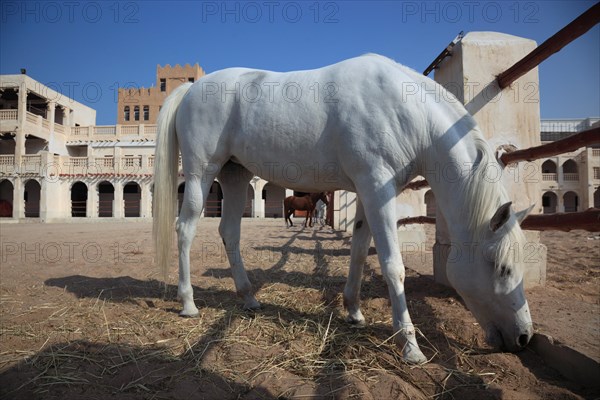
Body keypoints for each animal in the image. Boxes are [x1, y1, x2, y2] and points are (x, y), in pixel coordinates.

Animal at [154, 54, 536, 364]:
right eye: (502, 268)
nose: (524, 337)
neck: (405, 110)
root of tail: (191, 90)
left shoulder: (370, 193)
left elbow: (359, 250)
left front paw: (354, 311)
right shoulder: (378, 188)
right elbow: (392, 266)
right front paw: (410, 346)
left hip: (235, 175)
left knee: (229, 232)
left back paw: (248, 297)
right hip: (202, 174)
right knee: (185, 229)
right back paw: (188, 303)